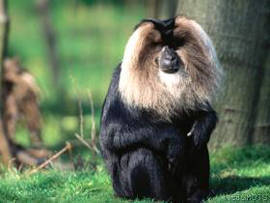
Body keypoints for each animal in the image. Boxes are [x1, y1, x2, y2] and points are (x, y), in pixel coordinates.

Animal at [99, 16, 221, 203]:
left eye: (174, 45)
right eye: (159, 46)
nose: (171, 57)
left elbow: (204, 115)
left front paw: (204, 123)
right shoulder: (119, 81)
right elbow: (110, 133)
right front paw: (174, 140)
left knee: (198, 142)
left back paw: (197, 194)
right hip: (125, 189)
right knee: (142, 153)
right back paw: (163, 198)